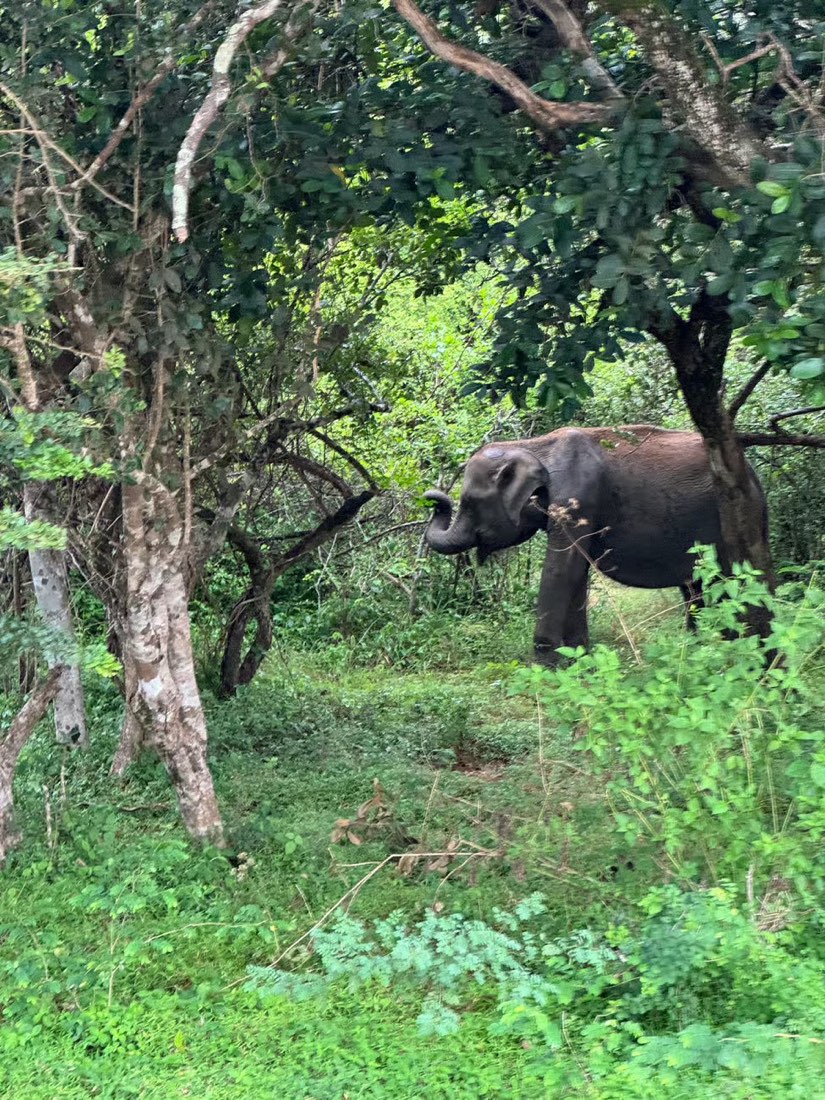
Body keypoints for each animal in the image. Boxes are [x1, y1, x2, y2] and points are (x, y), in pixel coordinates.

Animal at [423, 425, 768, 665]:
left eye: (470, 502)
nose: (433, 498)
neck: (533, 445)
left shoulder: (579, 498)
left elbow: (562, 567)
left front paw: (546, 664)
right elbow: (577, 570)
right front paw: (578, 657)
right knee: (695, 588)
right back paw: (701, 648)